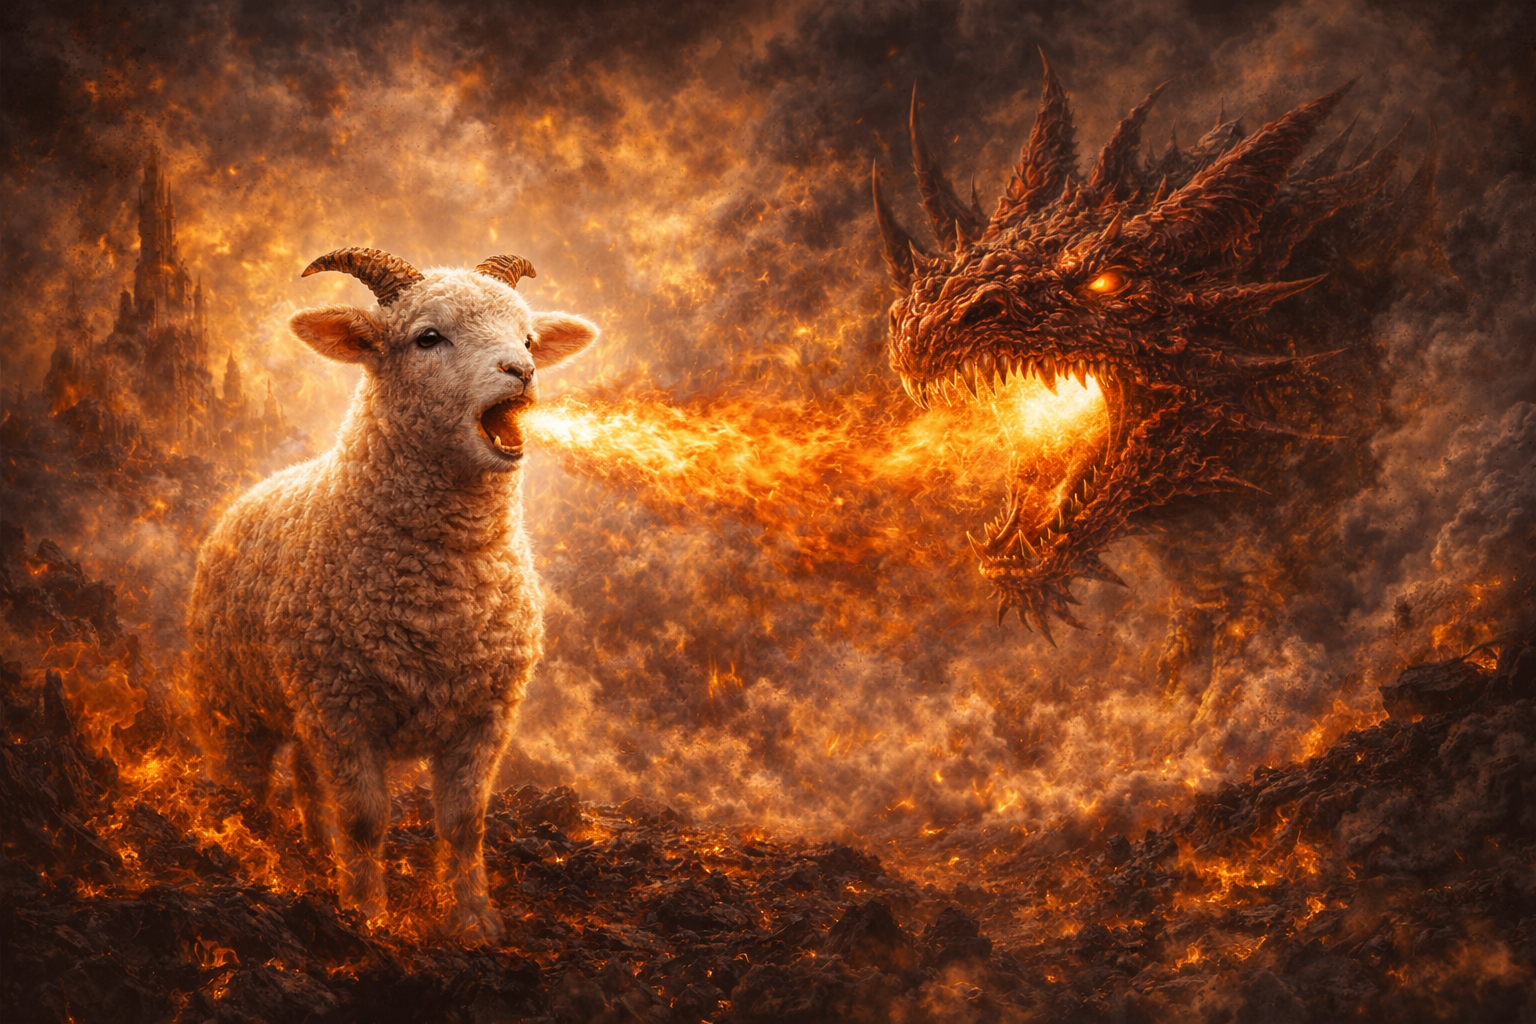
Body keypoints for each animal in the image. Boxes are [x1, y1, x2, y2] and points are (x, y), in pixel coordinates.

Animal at [186, 247, 598, 942]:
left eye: (528, 338)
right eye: (426, 337)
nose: (522, 371)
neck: (441, 593)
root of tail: (257, 487)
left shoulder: (483, 716)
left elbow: (463, 825)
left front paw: (473, 920)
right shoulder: (345, 710)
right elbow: (365, 821)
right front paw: (369, 918)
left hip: (304, 709)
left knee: (308, 782)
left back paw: (319, 858)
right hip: (233, 703)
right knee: (249, 791)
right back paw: (260, 864)